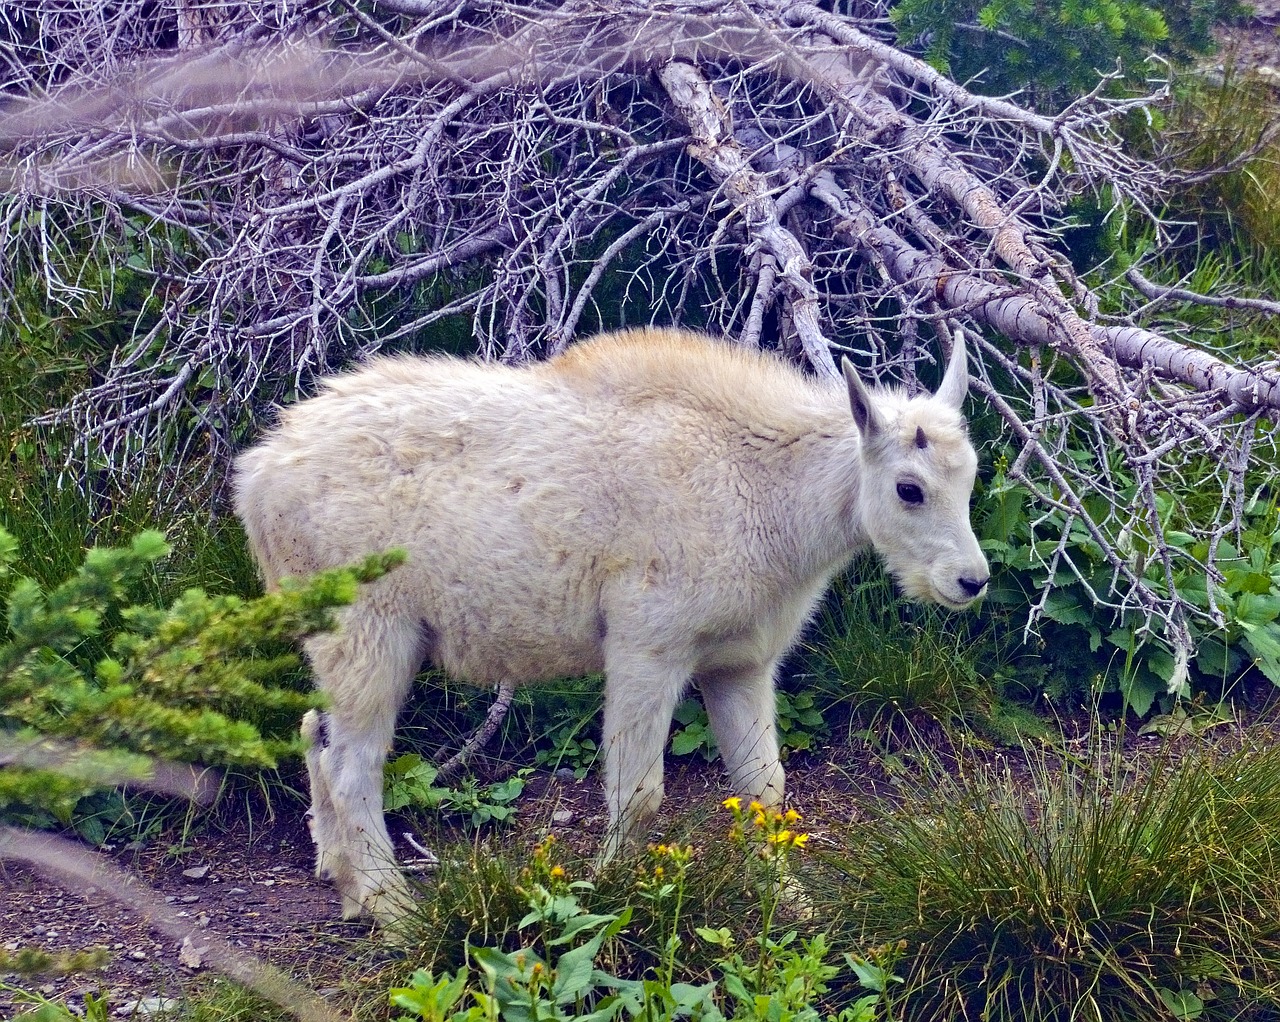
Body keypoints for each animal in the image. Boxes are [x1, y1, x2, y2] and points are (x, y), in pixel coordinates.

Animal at [232, 327, 988, 927]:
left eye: (971, 475)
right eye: (910, 488)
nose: (971, 580)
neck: (772, 493)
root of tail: (255, 481)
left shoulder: (740, 661)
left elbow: (763, 788)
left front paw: (789, 902)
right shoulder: (647, 647)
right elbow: (640, 792)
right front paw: (618, 895)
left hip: (336, 638)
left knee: (314, 731)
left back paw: (341, 880)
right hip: (371, 630)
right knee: (353, 765)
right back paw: (391, 909)